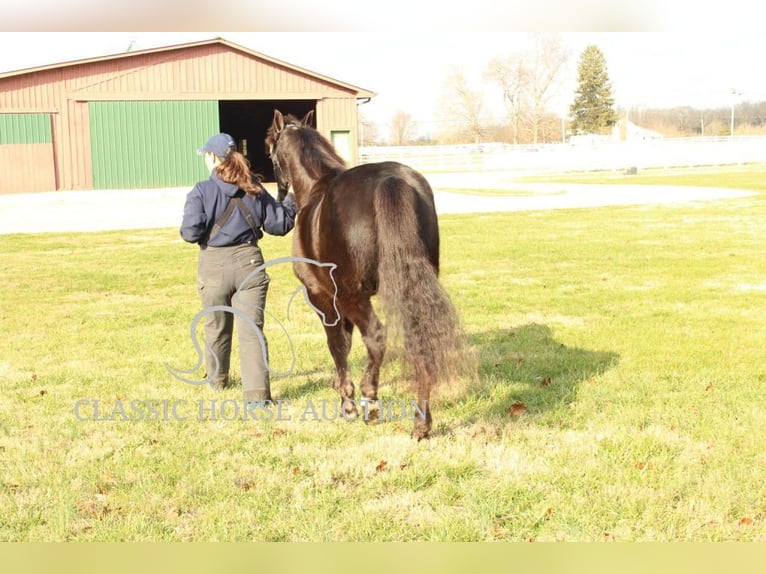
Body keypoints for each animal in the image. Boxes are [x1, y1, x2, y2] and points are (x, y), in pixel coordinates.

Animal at [268, 111, 460, 440]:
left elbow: (337, 342)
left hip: (352, 295)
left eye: (270, 148)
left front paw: (347, 401)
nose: (279, 192)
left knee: (376, 336)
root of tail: (391, 181)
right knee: (419, 338)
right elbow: (345, 340)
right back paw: (420, 424)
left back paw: (370, 401)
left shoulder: (322, 295)